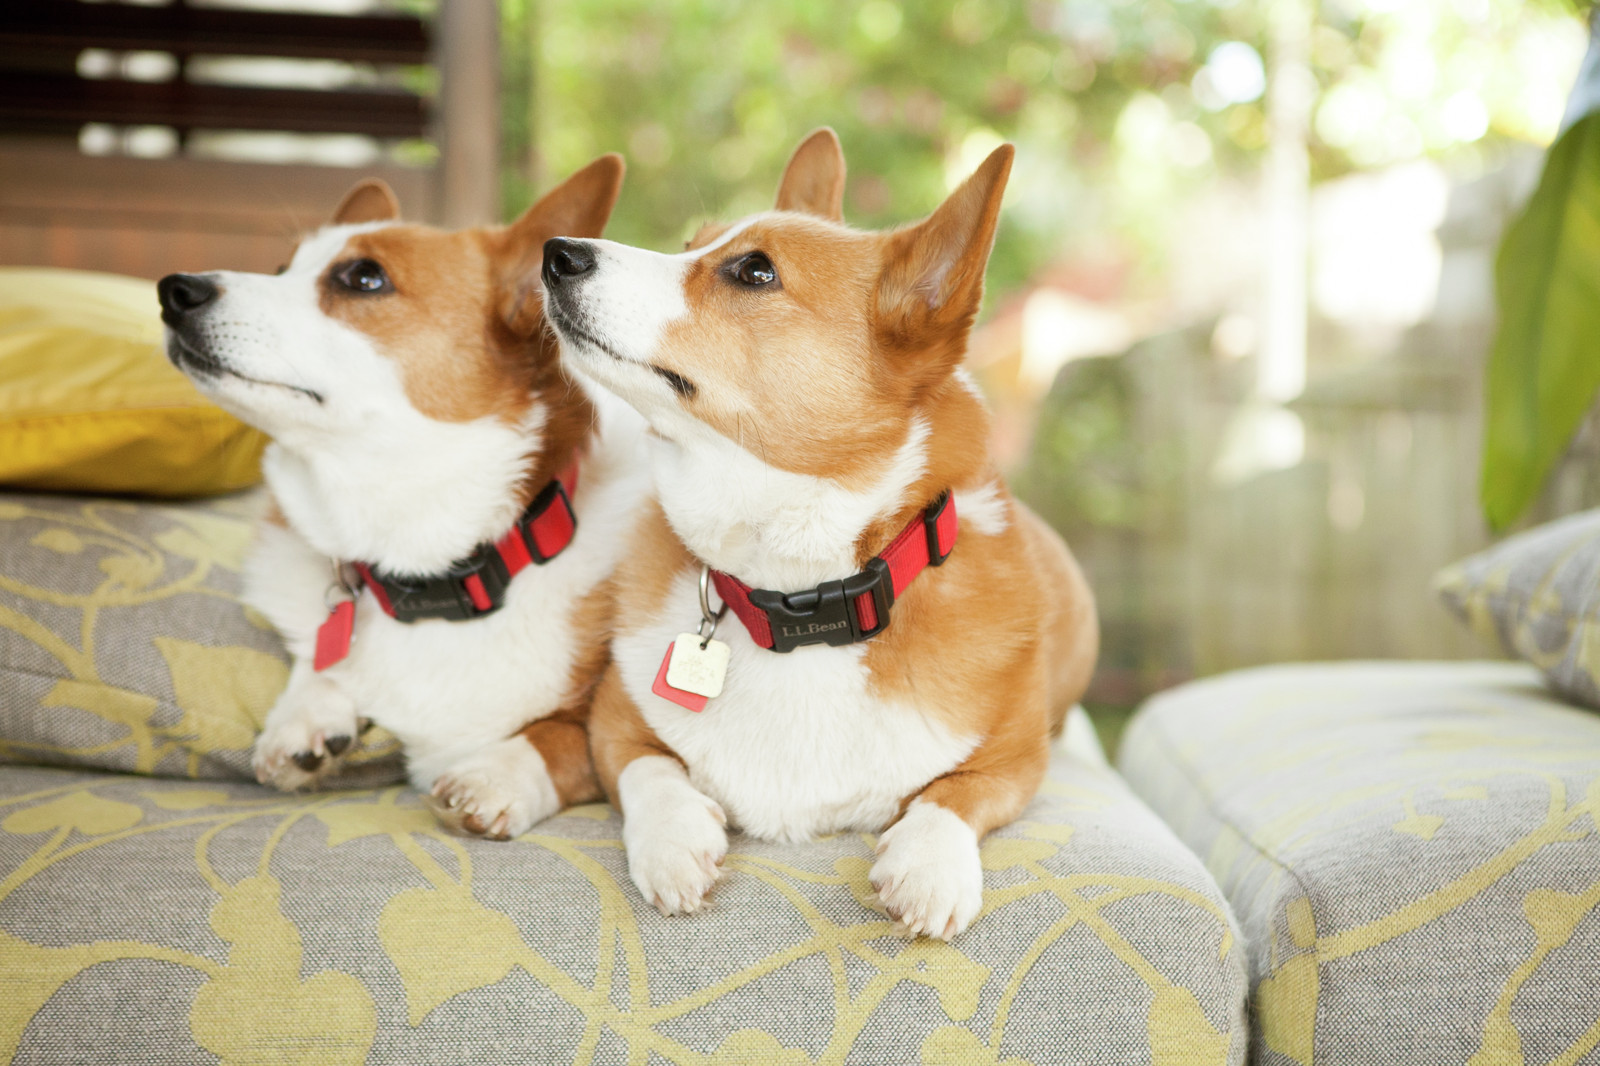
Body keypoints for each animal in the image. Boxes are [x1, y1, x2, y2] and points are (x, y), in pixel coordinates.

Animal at [158, 155, 652, 839]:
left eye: (364, 278)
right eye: (283, 269)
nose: (173, 291)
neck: (431, 574)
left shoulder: (613, 717)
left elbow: (563, 736)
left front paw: (493, 775)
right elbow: (320, 665)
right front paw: (304, 718)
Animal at [540, 129, 1098, 936]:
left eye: (754, 270)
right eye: (689, 245)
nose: (555, 253)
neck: (799, 595)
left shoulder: (1016, 758)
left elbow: (957, 793)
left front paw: (929, 866)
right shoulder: (615, 723)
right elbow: (651, 767)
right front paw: (676, 843)